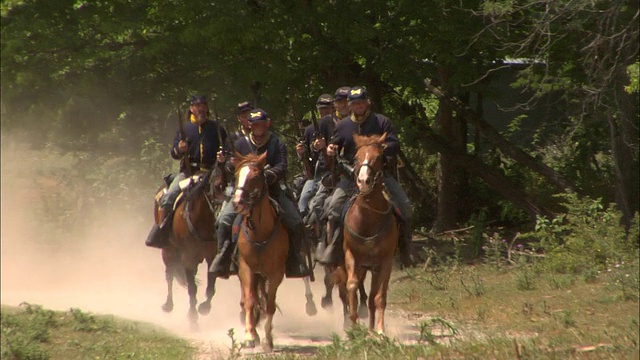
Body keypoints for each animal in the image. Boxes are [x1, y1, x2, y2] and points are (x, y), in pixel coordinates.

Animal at [154, 166, 226, 330]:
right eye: (217, 186)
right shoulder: (188, 257)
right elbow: (192, 288)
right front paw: (193, 319)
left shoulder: (211, 256)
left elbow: (211, 286)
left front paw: (204, 307)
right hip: (168, 250)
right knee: (169, 275)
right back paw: (168, 305)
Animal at [232, 152, 288, 352]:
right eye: (236, 175)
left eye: (255, 177)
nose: (238, 202)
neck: (260, 233)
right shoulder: (246, 268)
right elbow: (250, 301)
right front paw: (250, 336)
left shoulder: (276, 274)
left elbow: (270, 306)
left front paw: (267, 340)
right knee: (249, 299)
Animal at [338, 133, 398, 334]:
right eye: (356, 157)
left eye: (379, 157)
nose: (363, 181)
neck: (368, 221)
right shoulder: (351, 256)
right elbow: (351, 286)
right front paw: (354, 325)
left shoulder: (385, 262)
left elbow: (379, 297)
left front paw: (379, 330)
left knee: (372, 297)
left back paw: (372, 328)